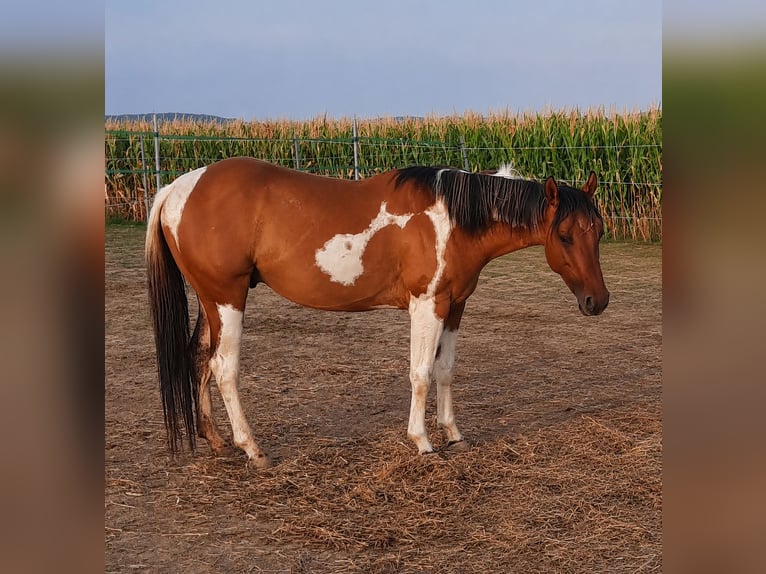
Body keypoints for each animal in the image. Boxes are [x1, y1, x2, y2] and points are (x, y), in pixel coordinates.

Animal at [146, 158, 609, 468]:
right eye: (564, 236)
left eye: (599, 231)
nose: (597, 301)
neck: (452, 219)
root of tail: (177, 189)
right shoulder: (427, 304)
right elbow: (420, 374)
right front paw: (423, 442)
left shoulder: (455, 304)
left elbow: (445, 371)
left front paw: (454, 435)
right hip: (227, 299)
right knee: (224, 368)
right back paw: (253, 450)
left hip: (211, 300)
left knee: (198, 359)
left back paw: (217, 442)